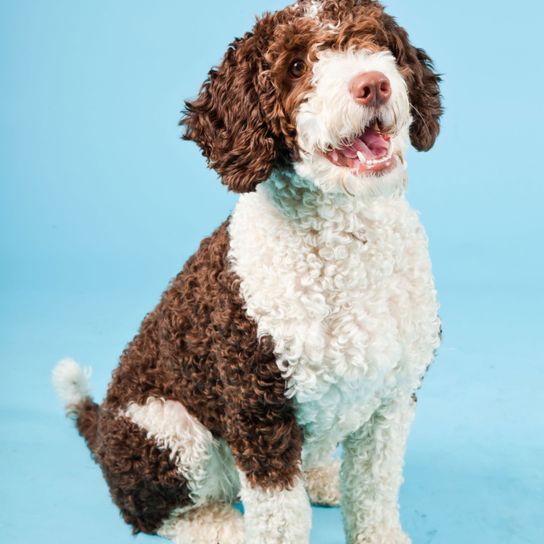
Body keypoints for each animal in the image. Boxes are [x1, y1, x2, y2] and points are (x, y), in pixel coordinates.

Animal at [52, 2, 442, 540]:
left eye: (376, 44)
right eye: (296, 67)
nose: (373, 84)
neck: (348, 241)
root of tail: (100, 427)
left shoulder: (392, 400)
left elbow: (374, 492)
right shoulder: (260, 412)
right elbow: (281, 516)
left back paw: (323, 478)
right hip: (169, 430)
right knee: (149, 511)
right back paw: (222, 526)